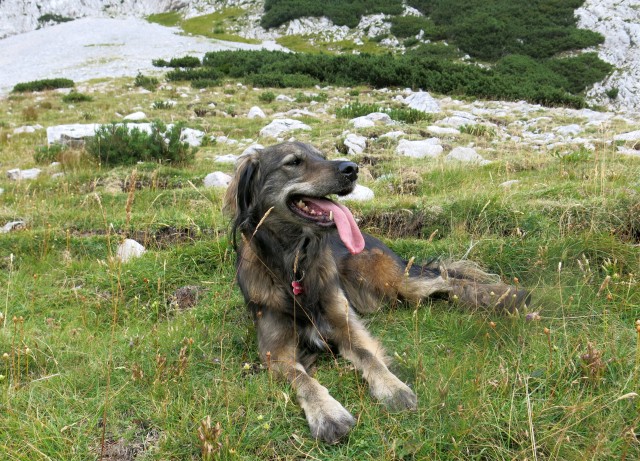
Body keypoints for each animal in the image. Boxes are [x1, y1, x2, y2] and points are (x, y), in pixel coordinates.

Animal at [225, 141, 528, 442]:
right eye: (294, 162)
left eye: (322, 156)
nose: (352, 168)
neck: (295, 267)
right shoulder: (275, 353)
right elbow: (303, 379)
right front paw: (327, 414)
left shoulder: (347, 325)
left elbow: (369, 356)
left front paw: (393, 388)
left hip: (387, 277)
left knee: (447, 280)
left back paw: (508, 296)